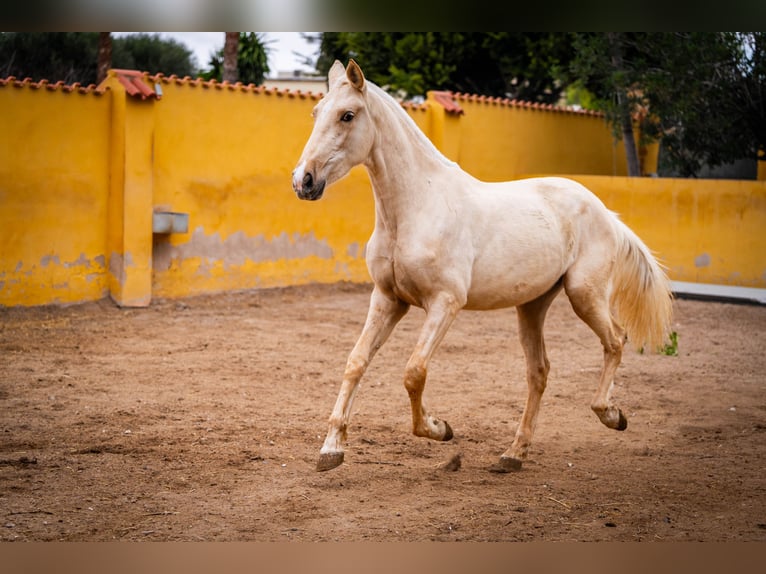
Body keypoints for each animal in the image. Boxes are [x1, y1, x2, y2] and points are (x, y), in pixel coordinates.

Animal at [292, 59, 676, 472]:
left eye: (347, 115)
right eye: (316, 112)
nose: (304, 181)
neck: (417, 207)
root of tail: (606, 213)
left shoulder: (445, 303)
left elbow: (414, 372)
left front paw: (439, 428)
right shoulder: (387, 299)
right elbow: (356, 362)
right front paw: (331, 449)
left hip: (583, 294)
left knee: (615, 340)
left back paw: (611, 415)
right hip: (532, 306)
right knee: (539, 372)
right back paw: (513, 454)